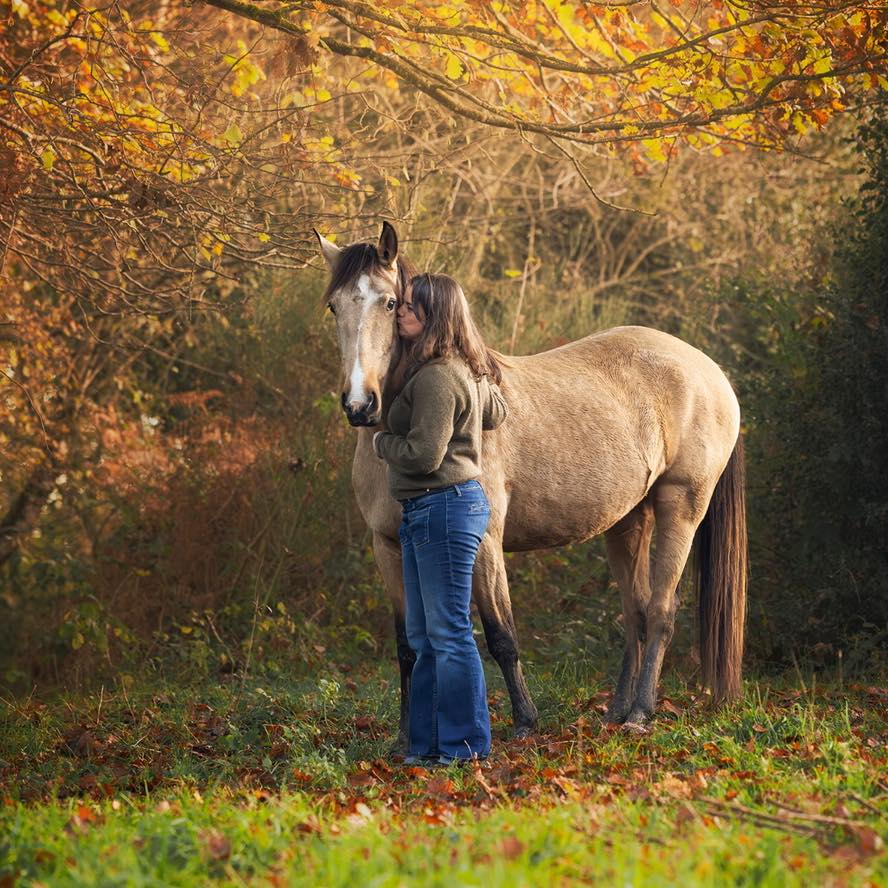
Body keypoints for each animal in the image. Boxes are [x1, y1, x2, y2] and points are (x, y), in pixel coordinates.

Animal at [315, 221, 747, 747]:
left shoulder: (483, 542)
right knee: (637, 613)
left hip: (681, 508)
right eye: (335, 305)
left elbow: (501, 634)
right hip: (627, 522)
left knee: (662, 611)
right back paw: (617, 711)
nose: (360, 404)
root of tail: (708, 370)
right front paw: (404, 738)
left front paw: (524, 721)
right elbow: (407, 645)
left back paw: (642, 712)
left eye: (390, 303)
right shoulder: (389, 547)